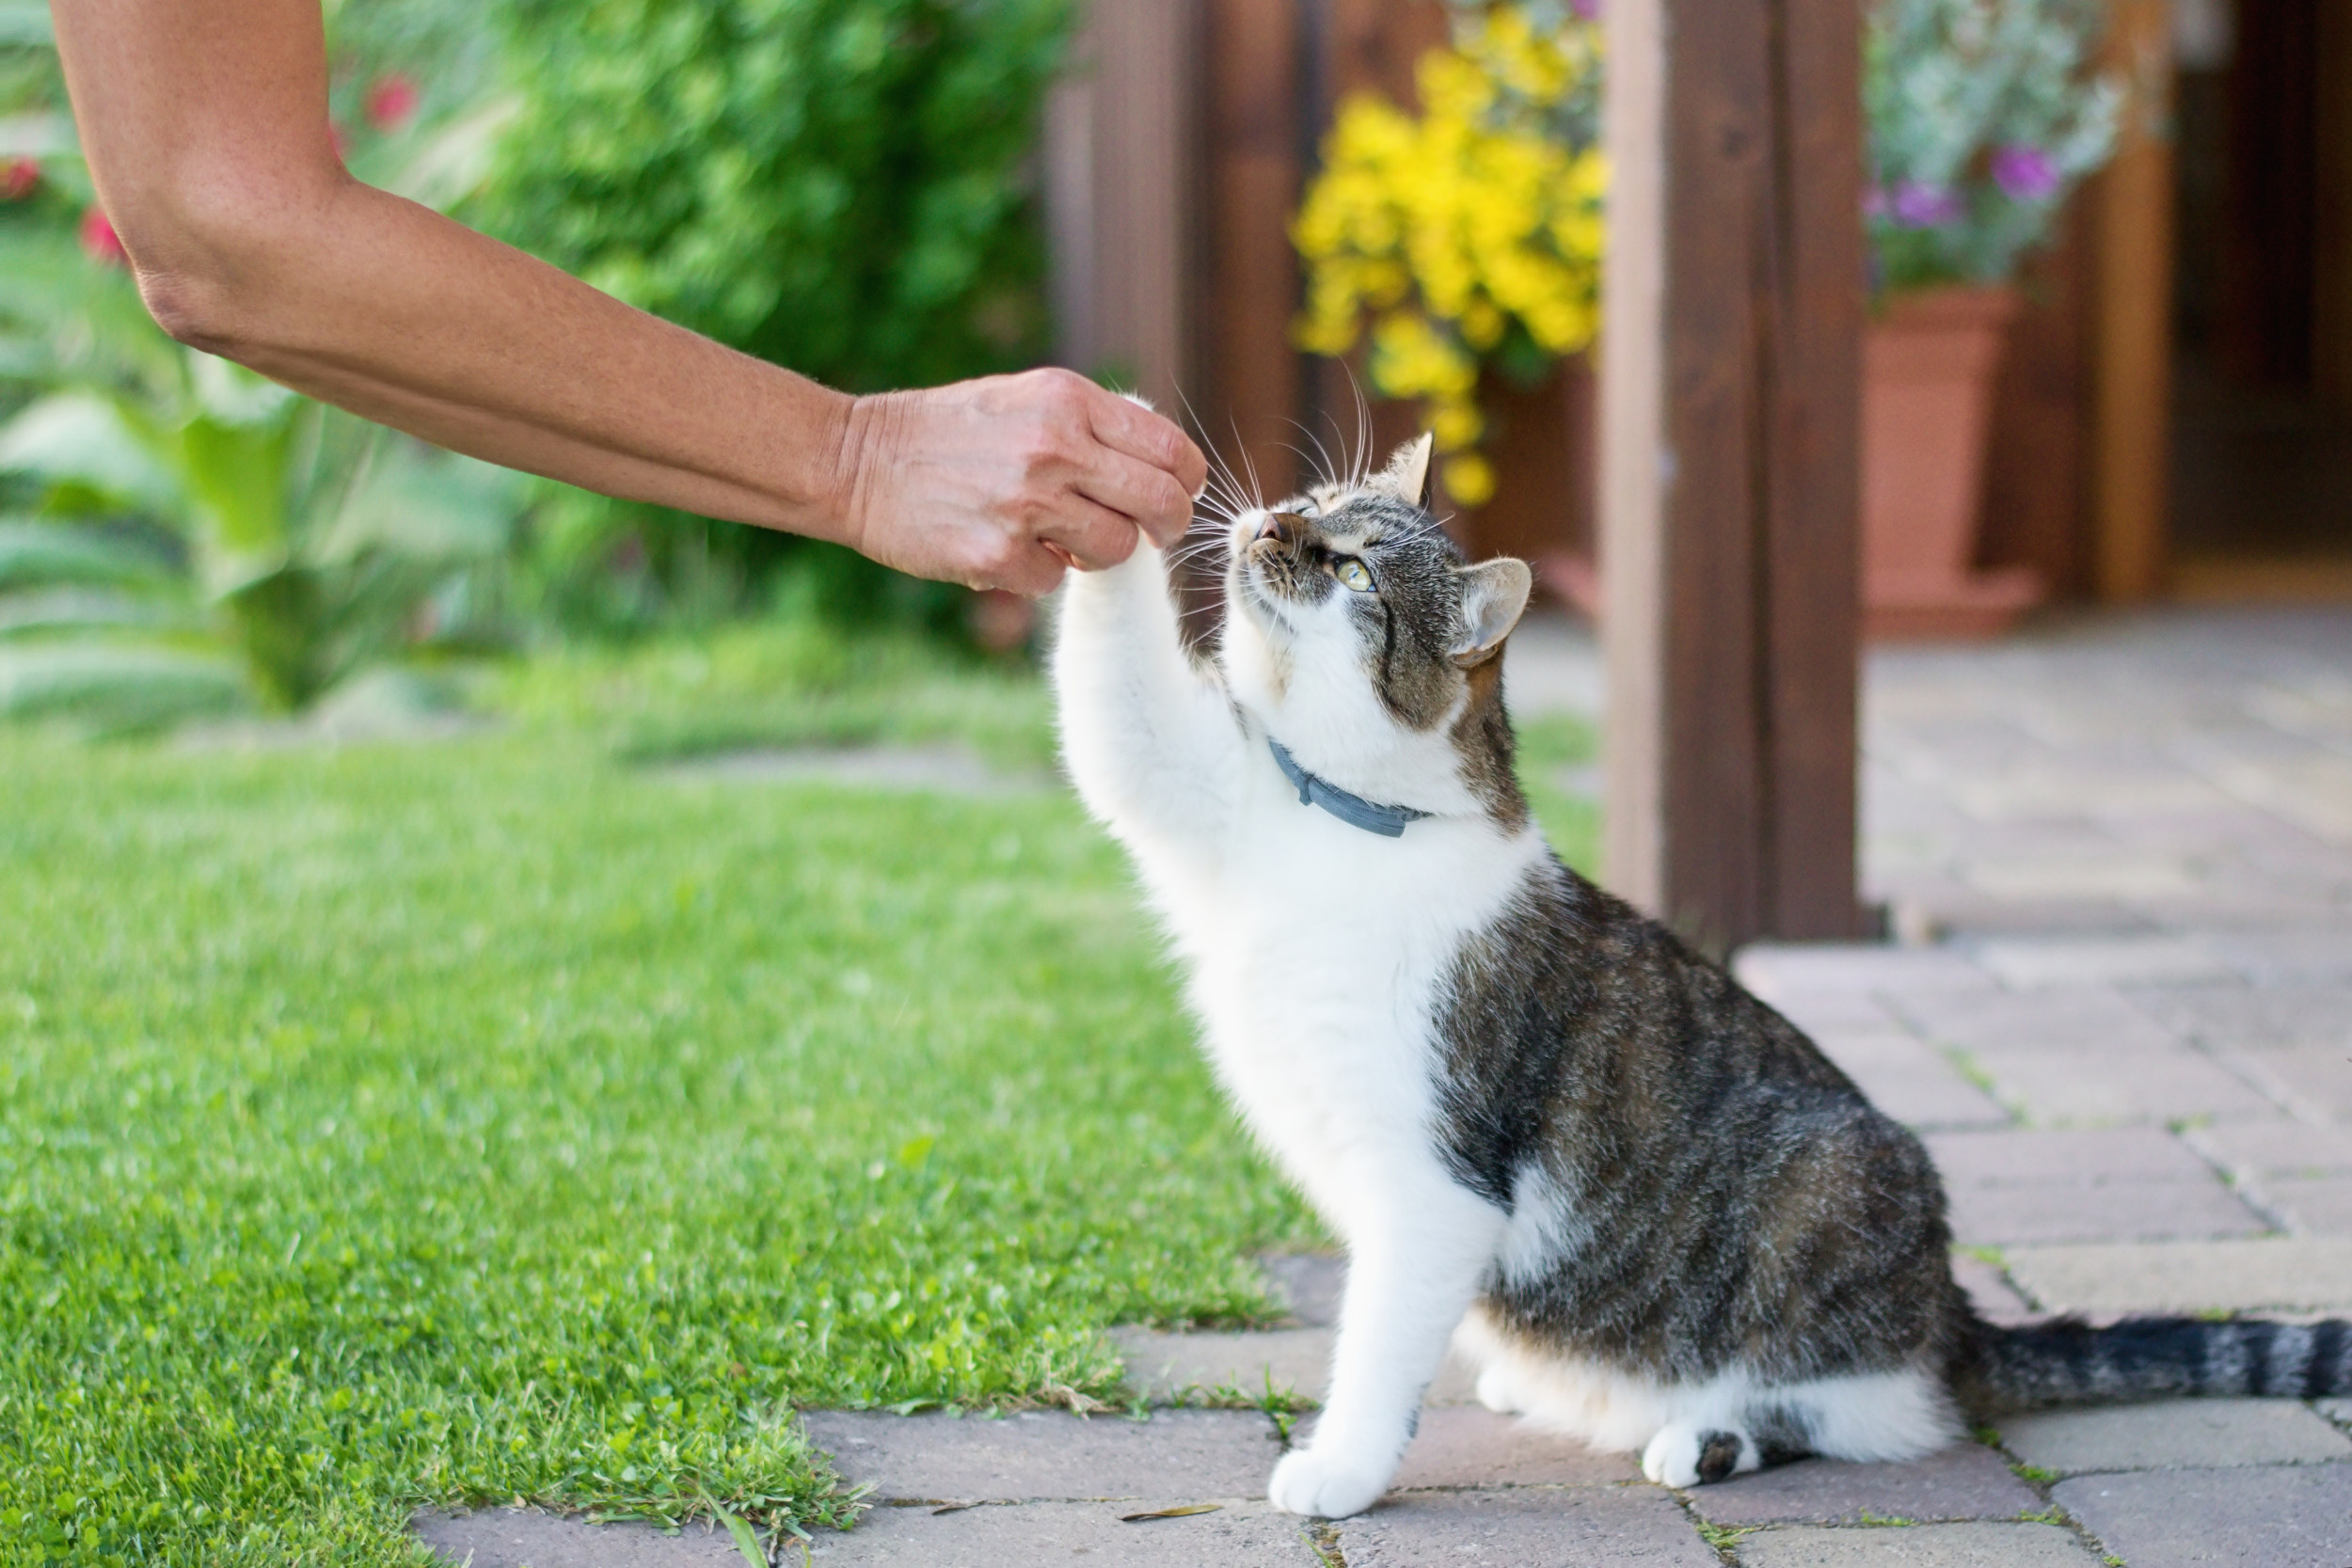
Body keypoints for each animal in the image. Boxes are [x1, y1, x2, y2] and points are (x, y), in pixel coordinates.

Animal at [1054, 430, 2352, 1523]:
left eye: (1358, 573)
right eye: (1318, 503)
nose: (1270, 522)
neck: (1340, 823)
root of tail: (1952, 1309)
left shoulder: (1434, 1181)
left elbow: (1375, 1352)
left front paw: (1341, 1466)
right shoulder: (1190, 784)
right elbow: (1118, 714)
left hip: (1834, 1179)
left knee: (1873, 1409)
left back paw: (1709, 1433)